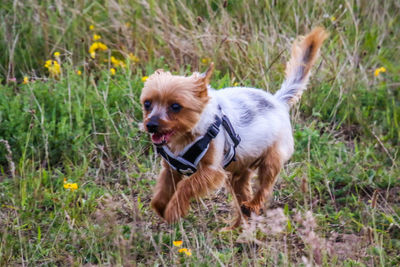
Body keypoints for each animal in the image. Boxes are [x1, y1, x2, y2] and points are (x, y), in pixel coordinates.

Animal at [141, 27, 328, 228]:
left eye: (175, 106)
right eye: (147, 103)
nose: (151, 125)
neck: (187, 136)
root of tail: (277, 100)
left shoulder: (211, 172)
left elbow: (186, 186)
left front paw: (173, 210)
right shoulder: (171, 169)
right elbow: (161, 192)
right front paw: (162, 208)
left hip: (272, 159)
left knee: (264, 187)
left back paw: (252, 205)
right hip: (239, 172)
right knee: (242, 196)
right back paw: (237, 226)